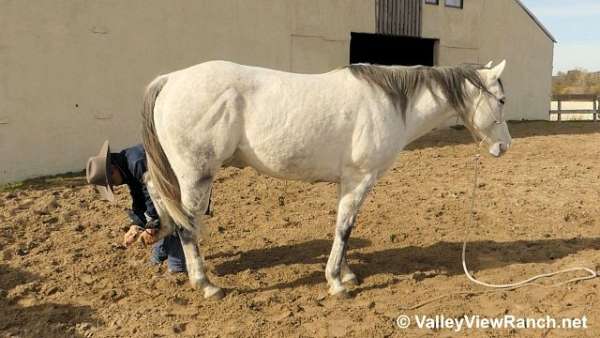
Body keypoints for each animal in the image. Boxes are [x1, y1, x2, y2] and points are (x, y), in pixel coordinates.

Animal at [141, 59, 510, 300]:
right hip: (195, 176)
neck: (388, 103)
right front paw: (337, 282)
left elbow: (345, 227)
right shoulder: (360, 179)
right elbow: (345, 228)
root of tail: (170, 79)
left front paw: (346, 273)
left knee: (156, 193)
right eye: (502, 100)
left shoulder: (347, 182)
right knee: (188, 225)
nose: (504, 146)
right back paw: (206, 284)